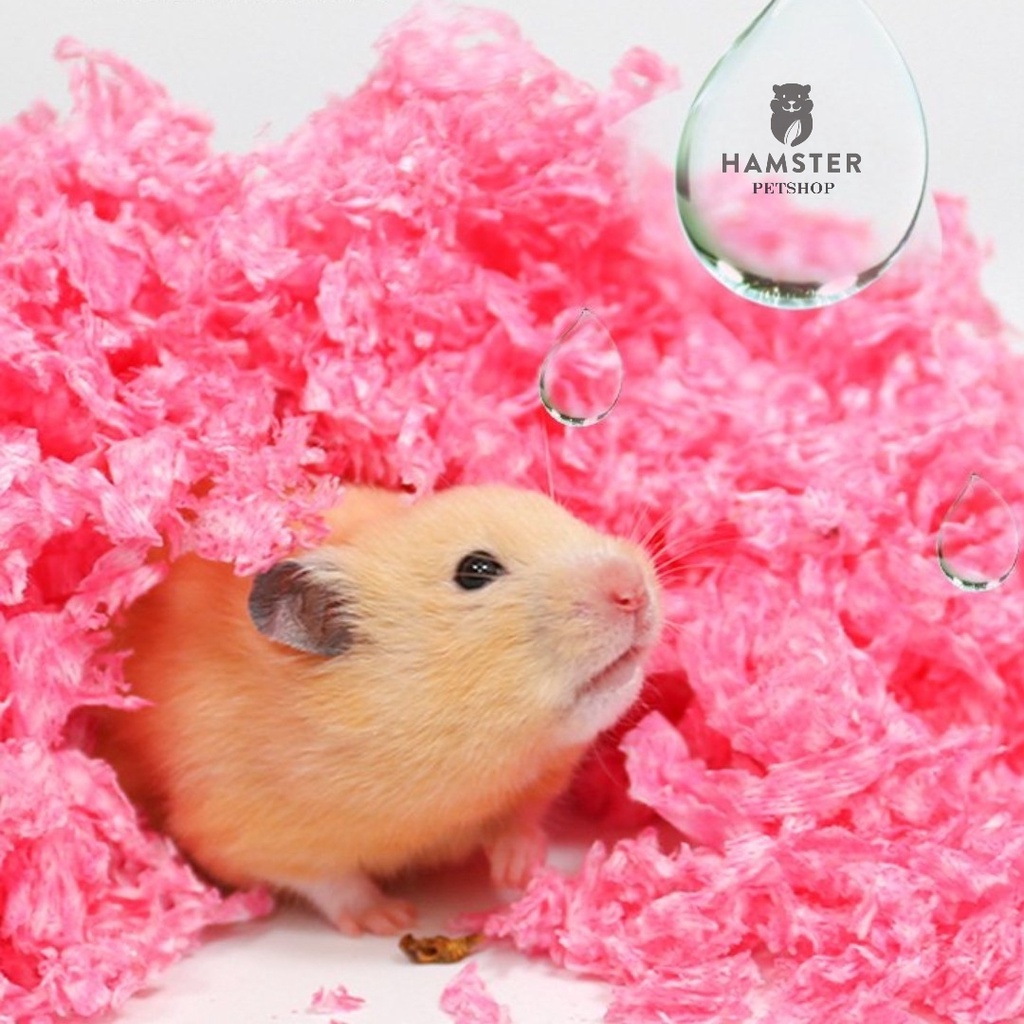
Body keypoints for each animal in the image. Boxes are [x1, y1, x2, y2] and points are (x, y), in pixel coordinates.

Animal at [102, 485, 662, 936]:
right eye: (476, 570)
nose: (632, 591)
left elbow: (518, 822)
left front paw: (521, 875)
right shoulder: (238, 829)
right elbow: (328, 879)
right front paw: (390, 919)